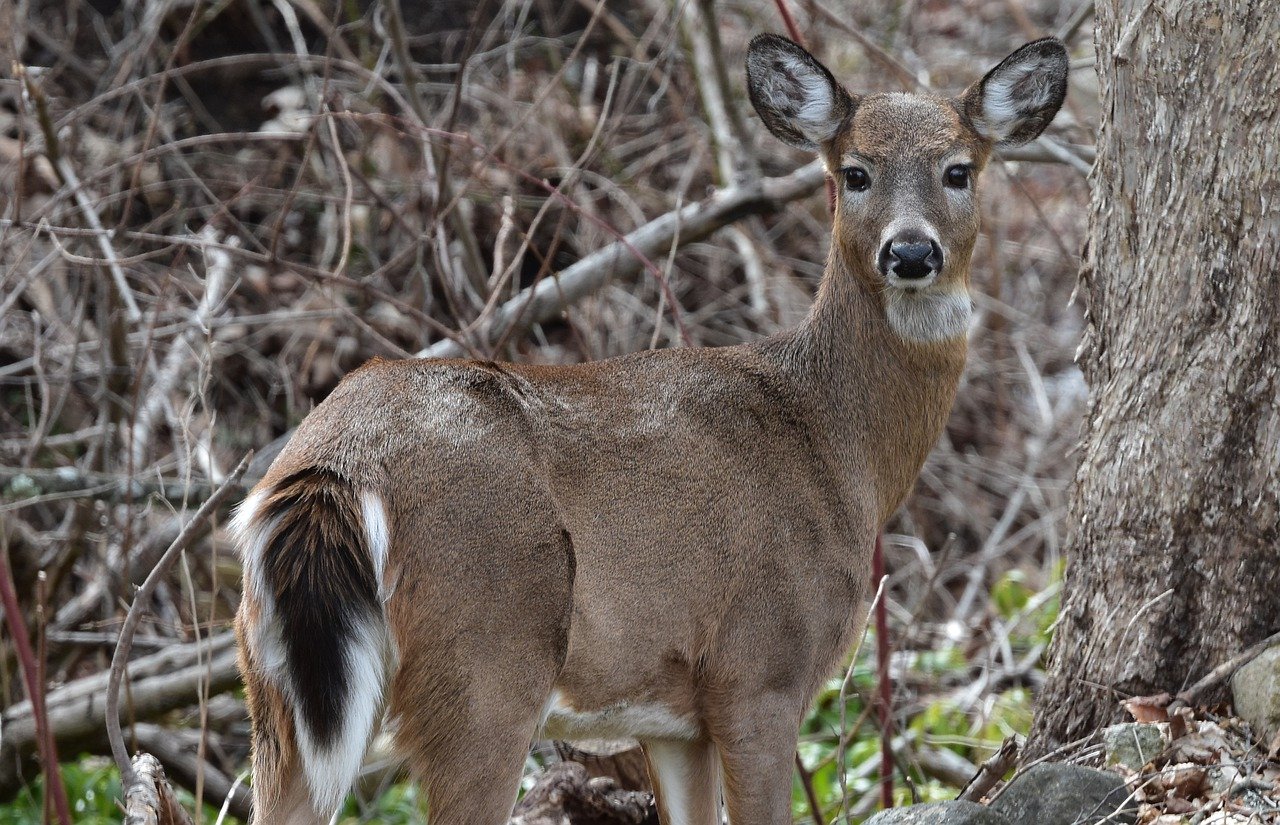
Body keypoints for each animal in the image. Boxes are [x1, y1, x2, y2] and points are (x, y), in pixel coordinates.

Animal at [232, 32, 1070, 823]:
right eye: (855, 172)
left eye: (959, 170)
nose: (911, 250)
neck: (836, 441)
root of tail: (334, 466)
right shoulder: (759, 668)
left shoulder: (674, 715)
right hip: (484, 663)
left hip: (274, 688)